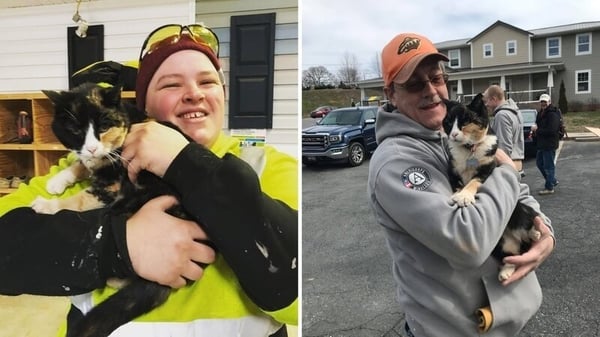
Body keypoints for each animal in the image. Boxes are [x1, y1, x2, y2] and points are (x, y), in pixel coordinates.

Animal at [442, 92, 540, 280]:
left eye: (465, 121)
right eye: (448, 122)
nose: (453, 135)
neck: (469, 150)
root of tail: (515, 237)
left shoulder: (489, 167)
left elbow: (474, 181)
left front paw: (464, 196)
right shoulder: (453, 170)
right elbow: (457, 184)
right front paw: (458, 194)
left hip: (520, 210)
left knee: (530, 224)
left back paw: (535, 232)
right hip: (501, 245)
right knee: (511, 257)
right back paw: (505, 272)